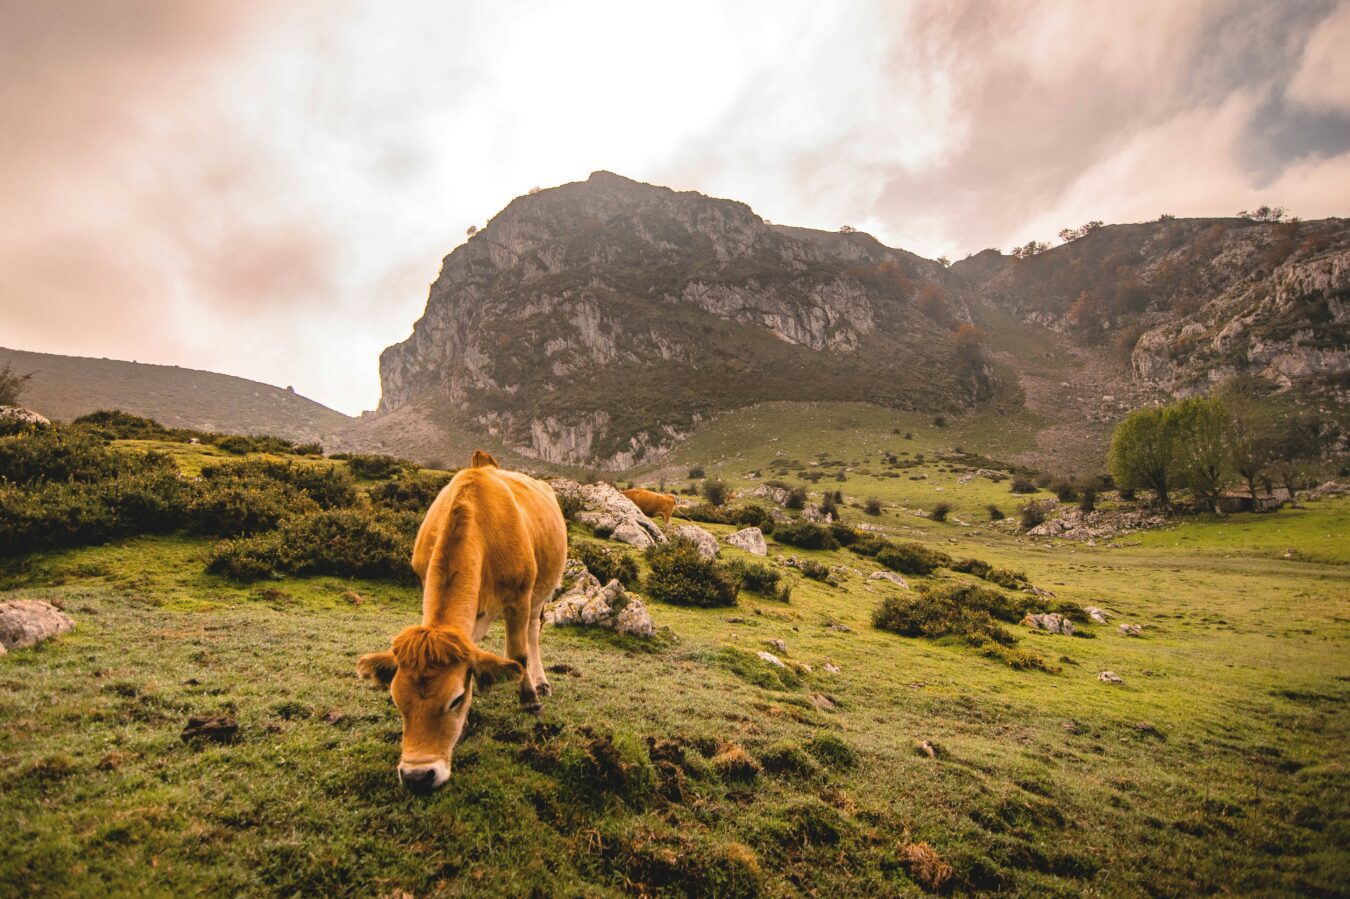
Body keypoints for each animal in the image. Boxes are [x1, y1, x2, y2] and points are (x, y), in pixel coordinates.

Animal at [353, 450, 564, 788]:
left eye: (455, 698)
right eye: (397, 700)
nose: (418, 775)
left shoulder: (519, 598)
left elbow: (518, 653)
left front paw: (530, 699)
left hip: (542, 590)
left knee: (533, 630)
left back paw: (541, 681)